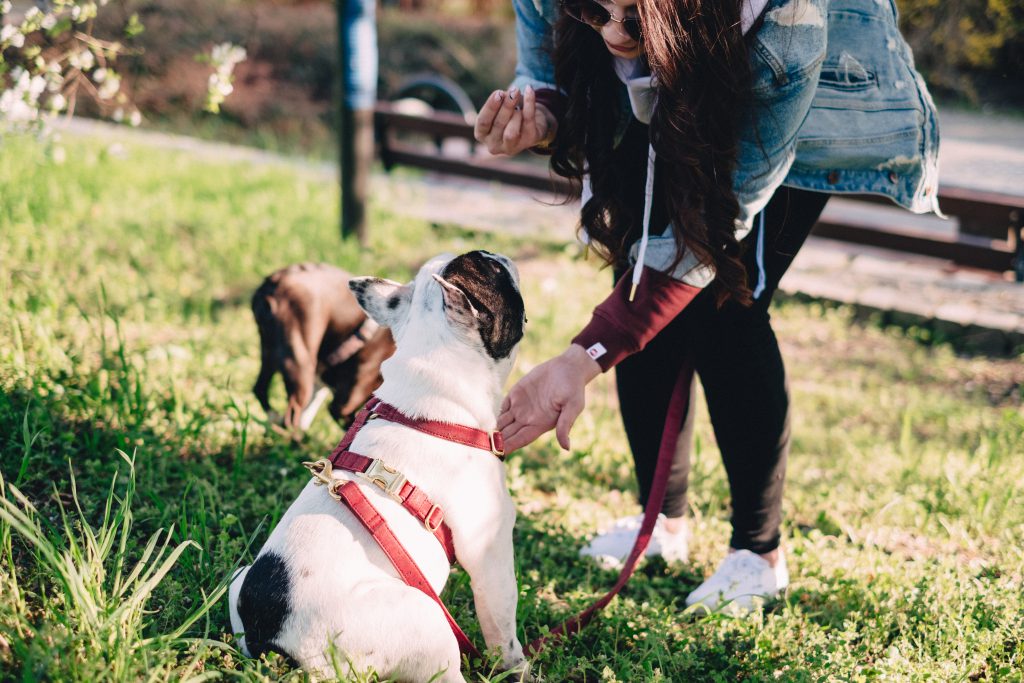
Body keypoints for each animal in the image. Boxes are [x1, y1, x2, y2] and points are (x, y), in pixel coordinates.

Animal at [251, 264, 395, 432]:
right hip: (299, 362)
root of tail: (275, 281)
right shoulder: (343, 405)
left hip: (269, 352)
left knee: (260, 389)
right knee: (291, 415)